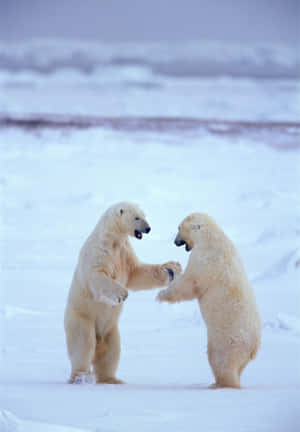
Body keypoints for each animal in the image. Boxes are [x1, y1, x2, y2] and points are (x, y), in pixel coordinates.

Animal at [64, 202, 182, 384]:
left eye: (144, 214)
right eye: (137, 217)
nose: (148, 228)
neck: (112, 239)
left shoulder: (124, 252)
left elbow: (137, 272)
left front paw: (171, 270)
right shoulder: (99, 251)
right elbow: (96, 275)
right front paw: (121, 294)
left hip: (110, 329)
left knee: (112, 350)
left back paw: (112, 379)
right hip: (80, 317)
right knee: (83, 344)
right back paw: (81, 377)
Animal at [157, 213, 260, 388]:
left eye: (179, 228)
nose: (175, 241)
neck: (211, 237)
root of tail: (253, 347)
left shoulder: (203, 258)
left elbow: (190, 284)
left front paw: (161, 294)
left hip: (227, 340)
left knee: (220, 361)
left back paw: (219, 384)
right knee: (239, 367)